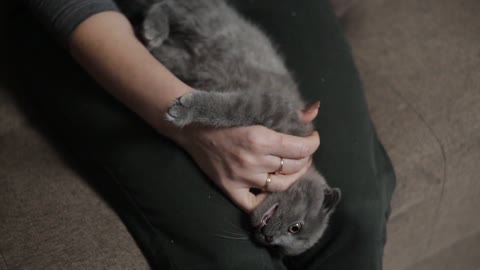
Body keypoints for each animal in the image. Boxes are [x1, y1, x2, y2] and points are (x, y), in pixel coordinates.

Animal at [132, 0, 342, 255]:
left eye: (278, 250)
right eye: (296, 227)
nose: (268, 239)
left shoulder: (180, 61)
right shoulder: (264, 106)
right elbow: (227, 110)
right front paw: (184, 109)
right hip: (205, 21)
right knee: (173, 5)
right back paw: (155, 27)